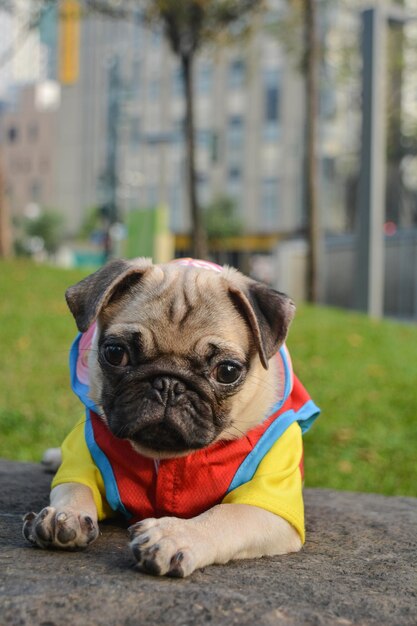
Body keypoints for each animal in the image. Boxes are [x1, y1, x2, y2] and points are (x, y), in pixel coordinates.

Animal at [22, 258, 318, 576]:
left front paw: (174, 536)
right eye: (115, 353)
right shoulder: (86, 457)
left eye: (227, 371)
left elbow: (226, 515)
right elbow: (75, 485)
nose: (168, 384)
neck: (167, 457)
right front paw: (65, 515)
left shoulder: (268, 507)